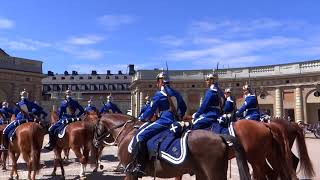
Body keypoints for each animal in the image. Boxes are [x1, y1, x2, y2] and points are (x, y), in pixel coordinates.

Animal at [94, 114, 251, 180]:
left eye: (95, 127)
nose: (95, 142)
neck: (128, 131)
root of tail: (220, 136)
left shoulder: (130, 173)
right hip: (202, 173)